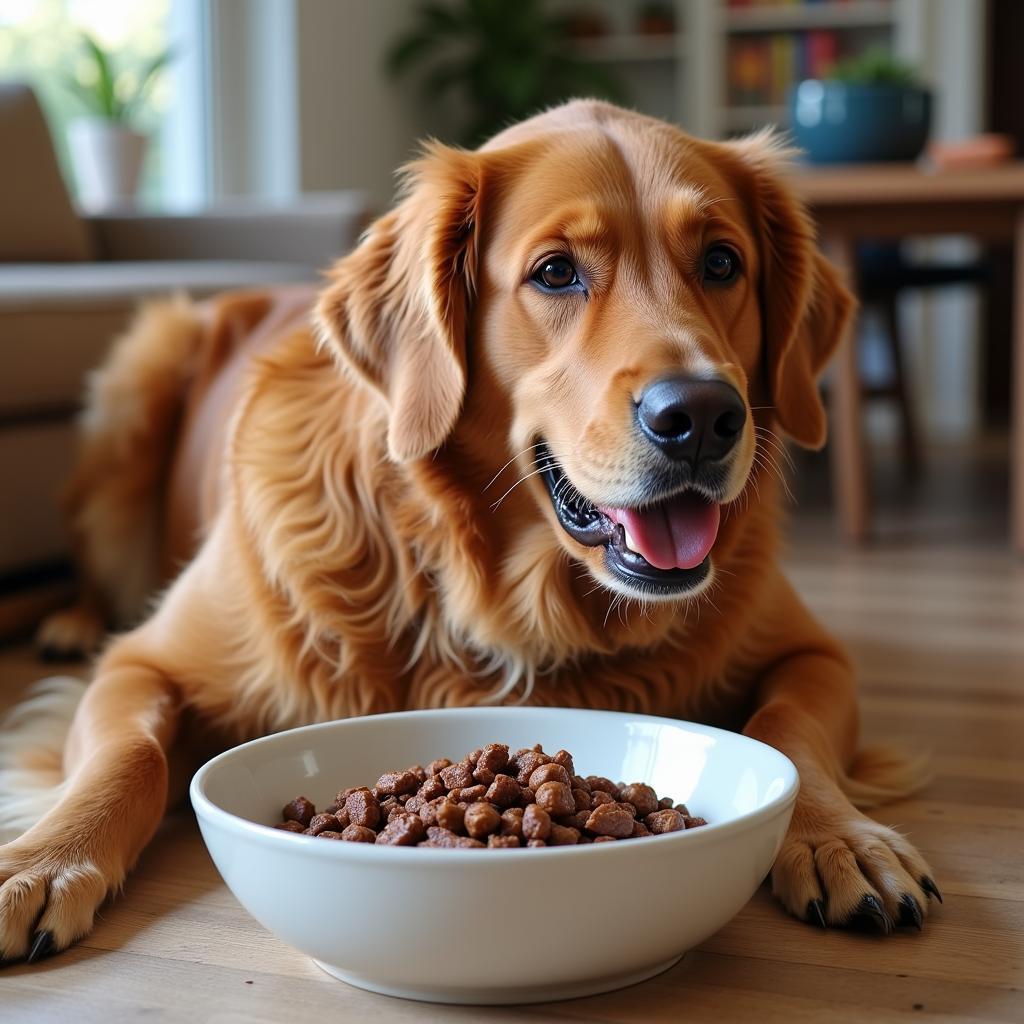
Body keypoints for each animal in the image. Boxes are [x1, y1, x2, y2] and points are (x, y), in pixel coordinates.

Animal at [0, 99, 937, 962]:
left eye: (721, 262)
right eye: (555, 273)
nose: (703, 417)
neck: (493, 590)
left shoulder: (810, 653)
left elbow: (788, 727)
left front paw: (838, 837)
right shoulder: (143, 662)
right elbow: (133, 755)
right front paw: (45, 859)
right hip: (138, 383)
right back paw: (68, 621)